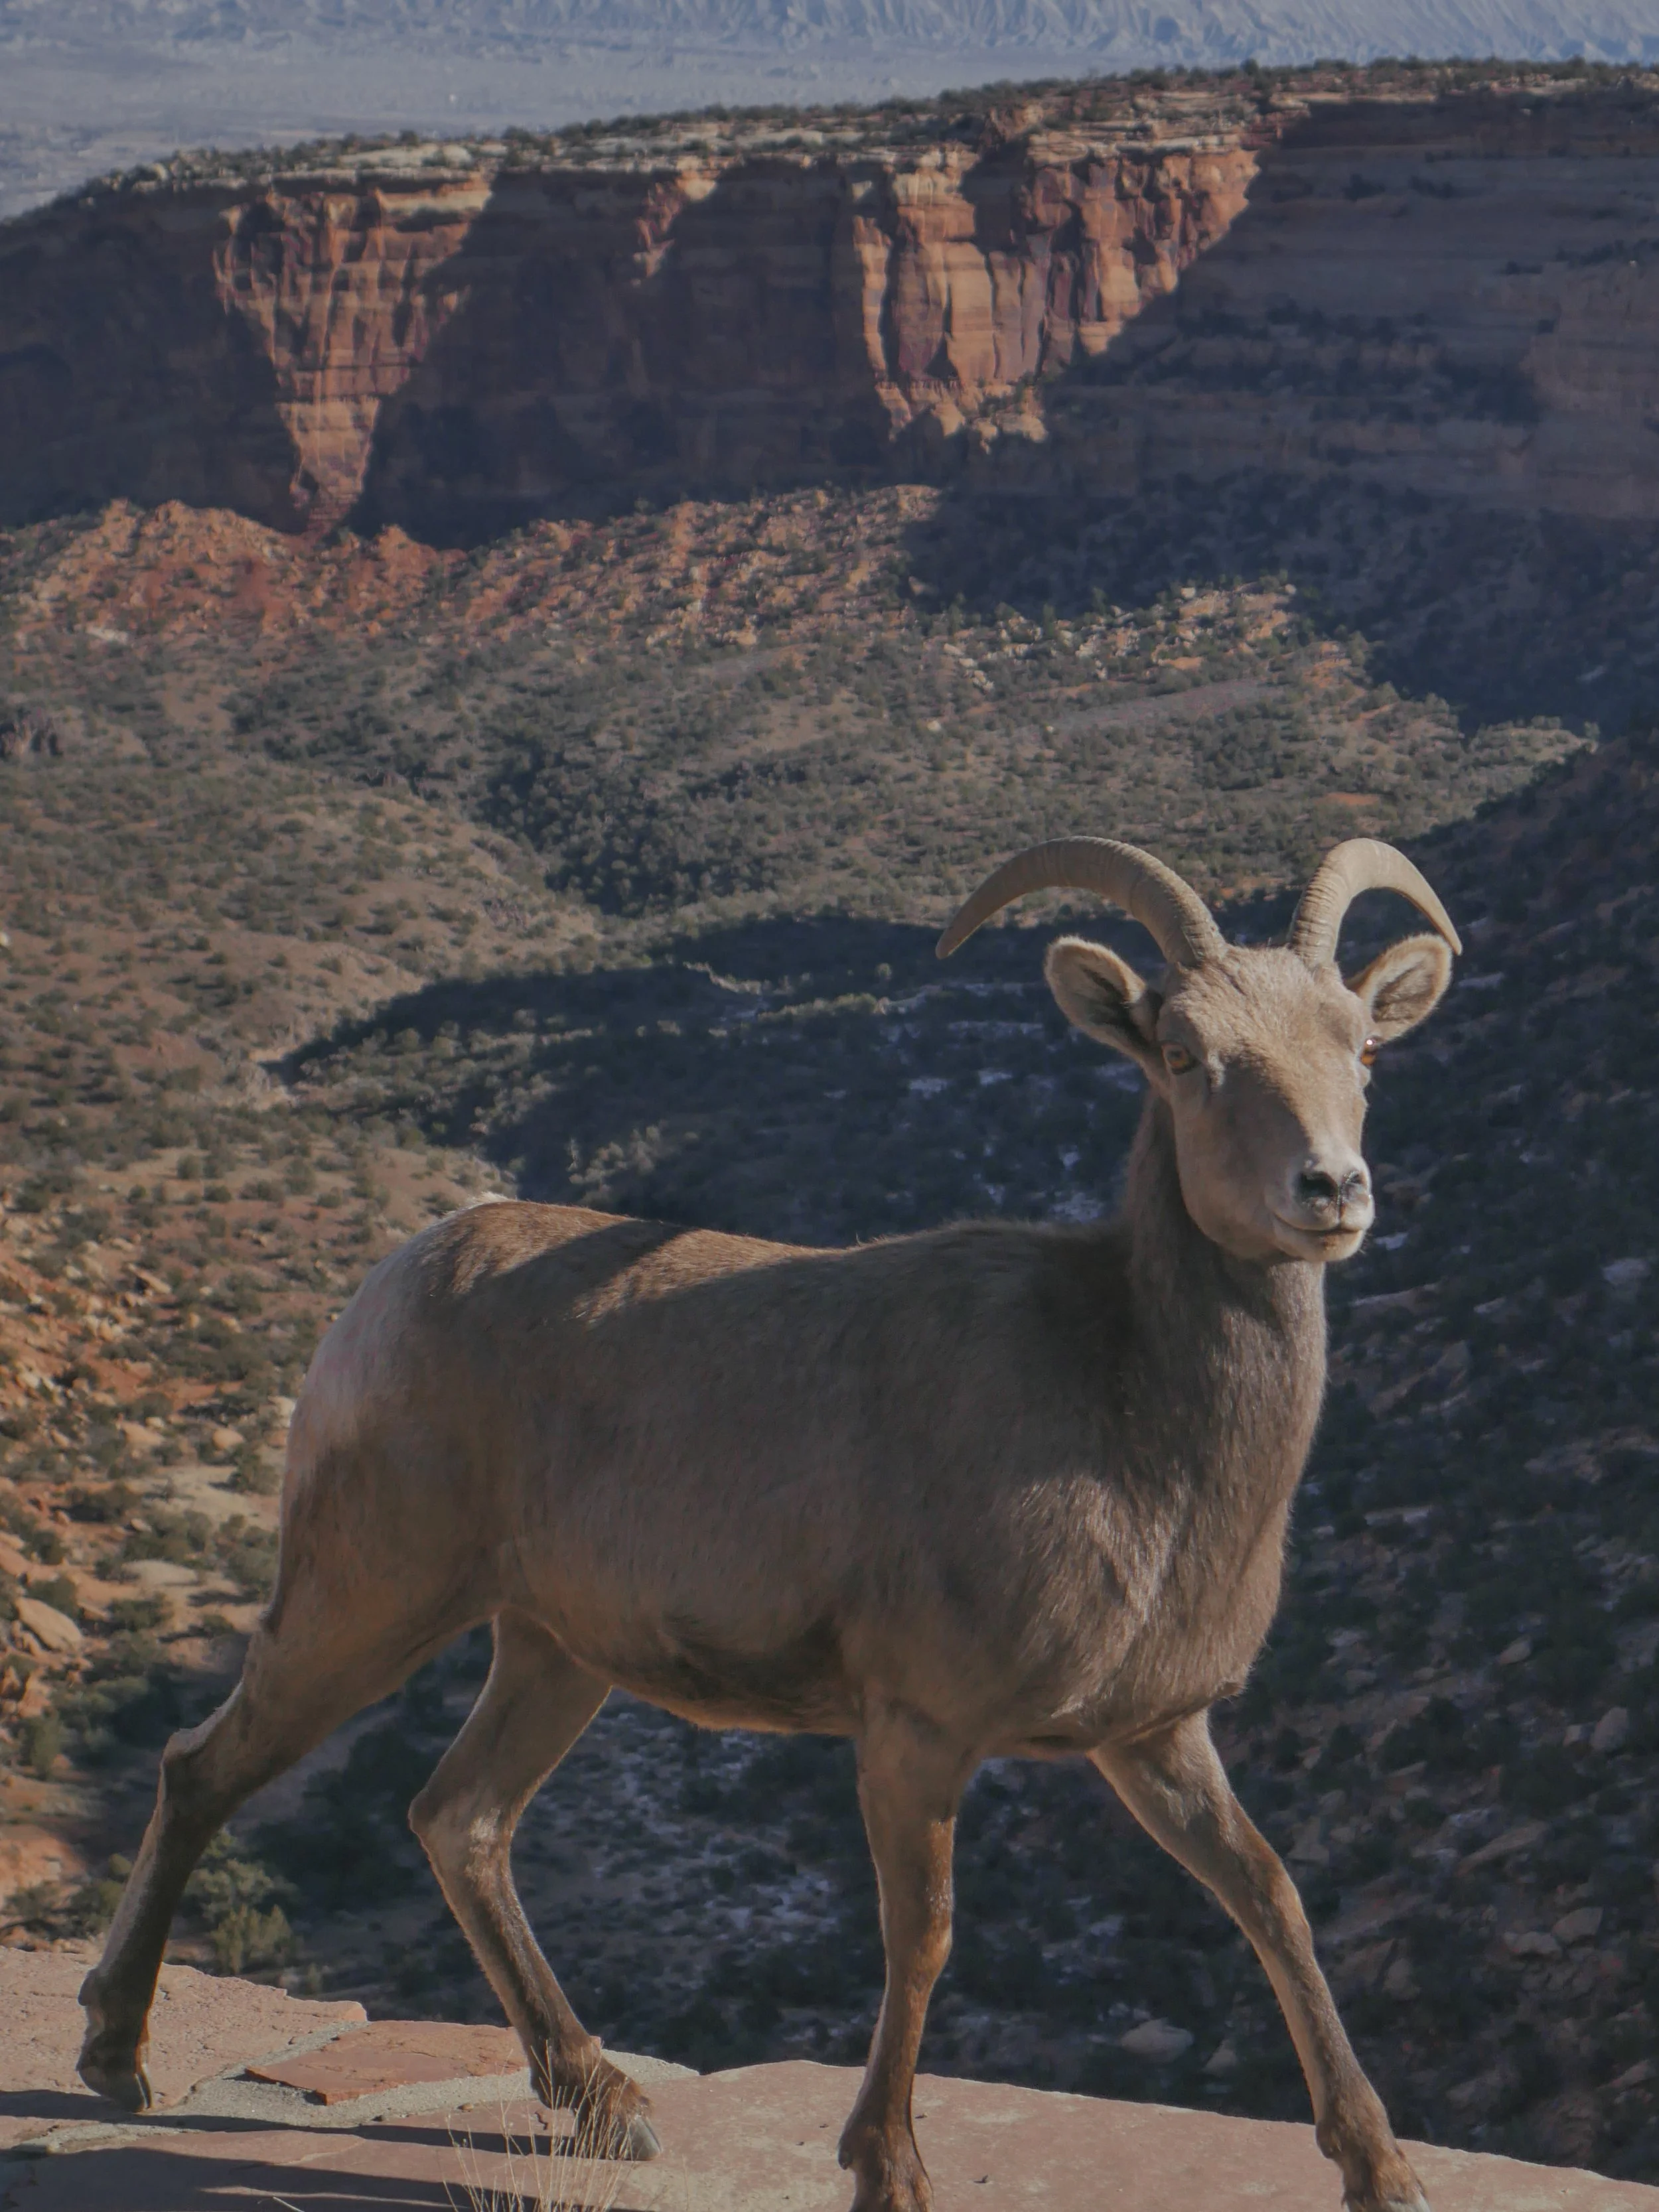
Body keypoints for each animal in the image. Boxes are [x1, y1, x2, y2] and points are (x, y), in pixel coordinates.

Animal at [80, 835, 1458, 2212]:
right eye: (1183, 1050)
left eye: (1362, 1048)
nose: (1330, 1187)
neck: (1134, 1421)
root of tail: (392, 1281)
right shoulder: (917, 1731)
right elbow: (924, 1931)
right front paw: (886, 2166)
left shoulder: (1154, 1736)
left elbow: (1270, 1895)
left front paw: (1383, 2168)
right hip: (370, 1591)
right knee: (207, 1763)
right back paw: (115, 2055)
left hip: (550, 1651)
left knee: (459, 1818)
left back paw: (608, 2105)